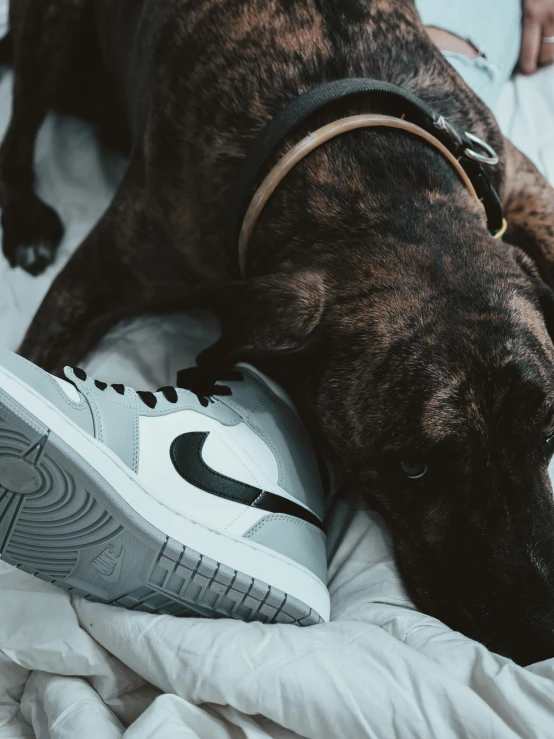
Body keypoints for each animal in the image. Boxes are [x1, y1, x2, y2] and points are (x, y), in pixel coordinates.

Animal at [3, 0, 552, 668]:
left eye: (549, 431)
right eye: (413, 467)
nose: (541, 631)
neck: (363, 171)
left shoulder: (518, 181)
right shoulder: (104, 270)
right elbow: (38, 355)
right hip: (52, 29)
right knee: (20, 125)